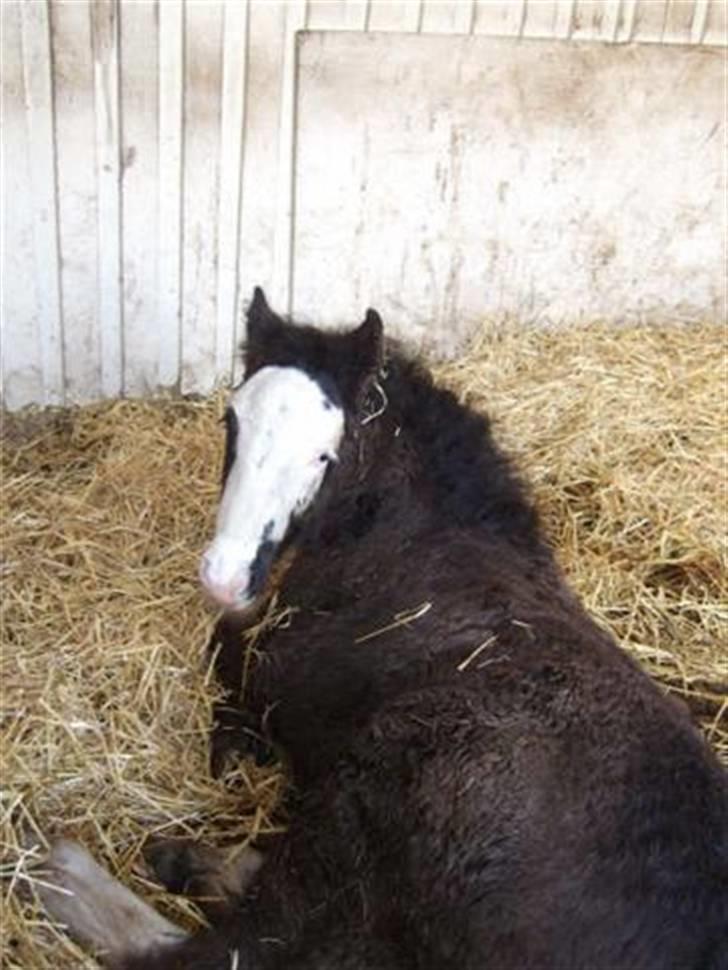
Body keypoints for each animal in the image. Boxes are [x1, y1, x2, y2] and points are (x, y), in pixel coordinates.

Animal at [41, 288, 728, 969]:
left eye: (324, 454)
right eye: (231, 422)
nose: (225, 576)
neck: (425, 537)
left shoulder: (273, 666)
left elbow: (227, 652)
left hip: (355, 821)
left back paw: (68, 867)